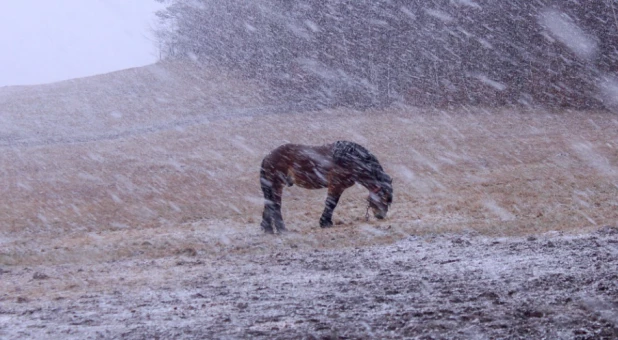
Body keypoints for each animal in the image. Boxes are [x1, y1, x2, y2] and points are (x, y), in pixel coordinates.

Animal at [258, 141, 392, 234]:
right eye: (384, 197)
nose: (381, 216)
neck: (350, 159)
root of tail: (268, 157)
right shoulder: (336, 186)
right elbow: (331, 203)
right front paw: (325, 223)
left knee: (268, 204)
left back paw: (268, 229)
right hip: (277, 186)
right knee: (275, 205)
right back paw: (282, 230)